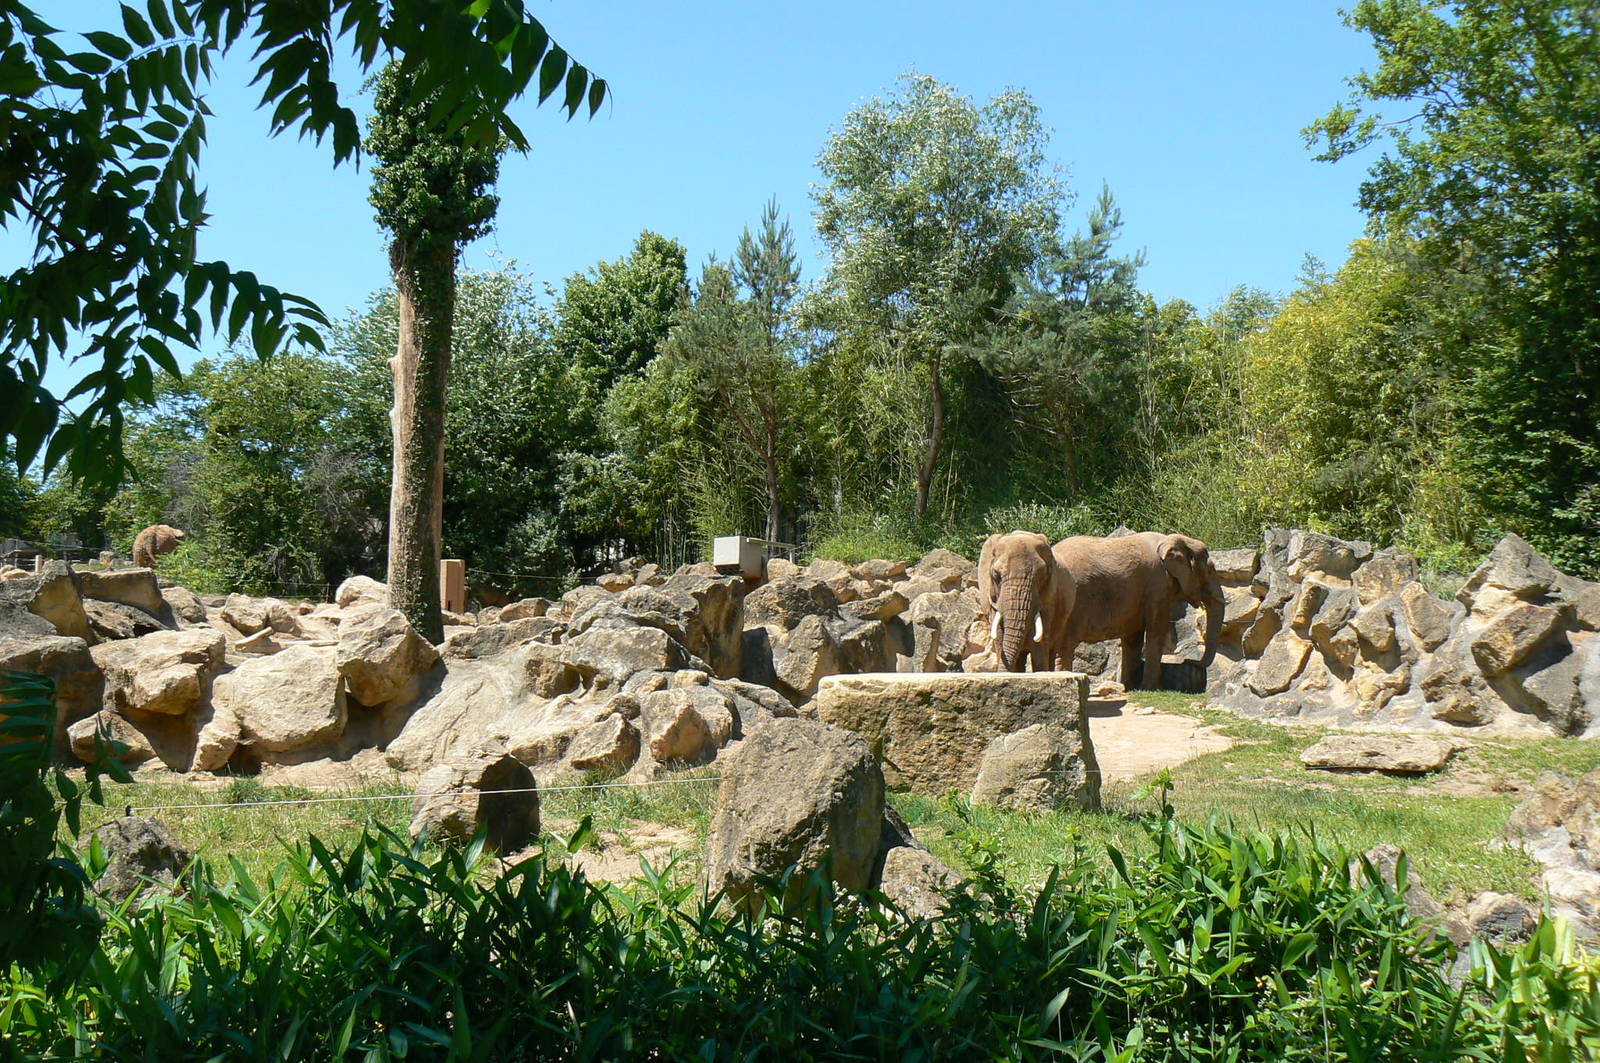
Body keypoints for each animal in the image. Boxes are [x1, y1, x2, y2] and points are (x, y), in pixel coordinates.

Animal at [1049, 531, 1224, 689]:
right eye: (1210, 570)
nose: (1190, 661)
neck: (1170, 539)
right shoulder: (1158, 585)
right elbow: (1157, 629)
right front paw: (1151, 688)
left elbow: (1134, 636)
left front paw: (1128, 687)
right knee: (1065, 645)